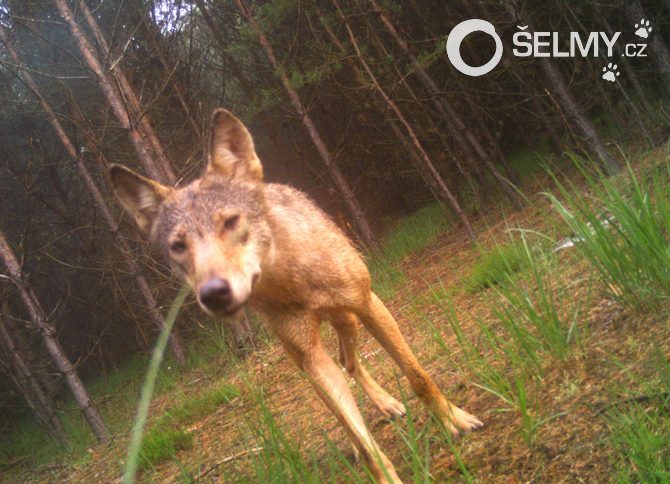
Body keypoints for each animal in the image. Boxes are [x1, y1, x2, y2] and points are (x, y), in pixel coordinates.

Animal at [113, 109, 486, 484]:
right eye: (178, 246)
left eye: (230, 222)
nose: (213, 293)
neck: (293, 281)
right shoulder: (310, 356)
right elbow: (364, 442)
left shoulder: (370, 305)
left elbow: (418, 376)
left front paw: (454, 421)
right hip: (305, 356)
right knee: (345, 378)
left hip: (349, 319)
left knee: (350, 360)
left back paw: (389, 403)